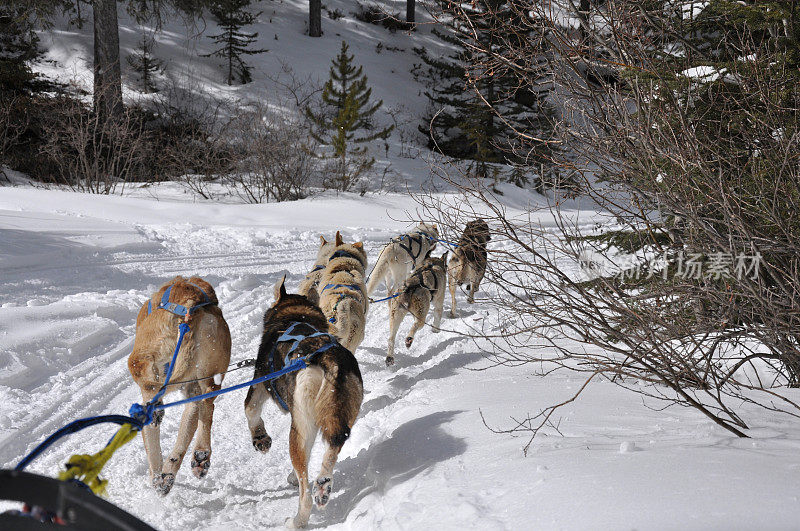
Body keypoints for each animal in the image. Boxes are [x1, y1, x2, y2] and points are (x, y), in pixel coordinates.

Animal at [126, 276, 230, 496]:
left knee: (151, 394)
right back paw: (197, 457)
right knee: (206, 404)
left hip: (138, 359)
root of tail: (190, 305)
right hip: (208, 377)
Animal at [242, 278, 364, 528]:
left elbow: (250, 409)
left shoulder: (259, 384)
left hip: (299, 429)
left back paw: (298, 520)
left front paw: (261, 439)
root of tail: (329, 359)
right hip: (338, 419)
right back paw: (323, 486)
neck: (295, 315)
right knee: (332, 450)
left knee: (304, 491)